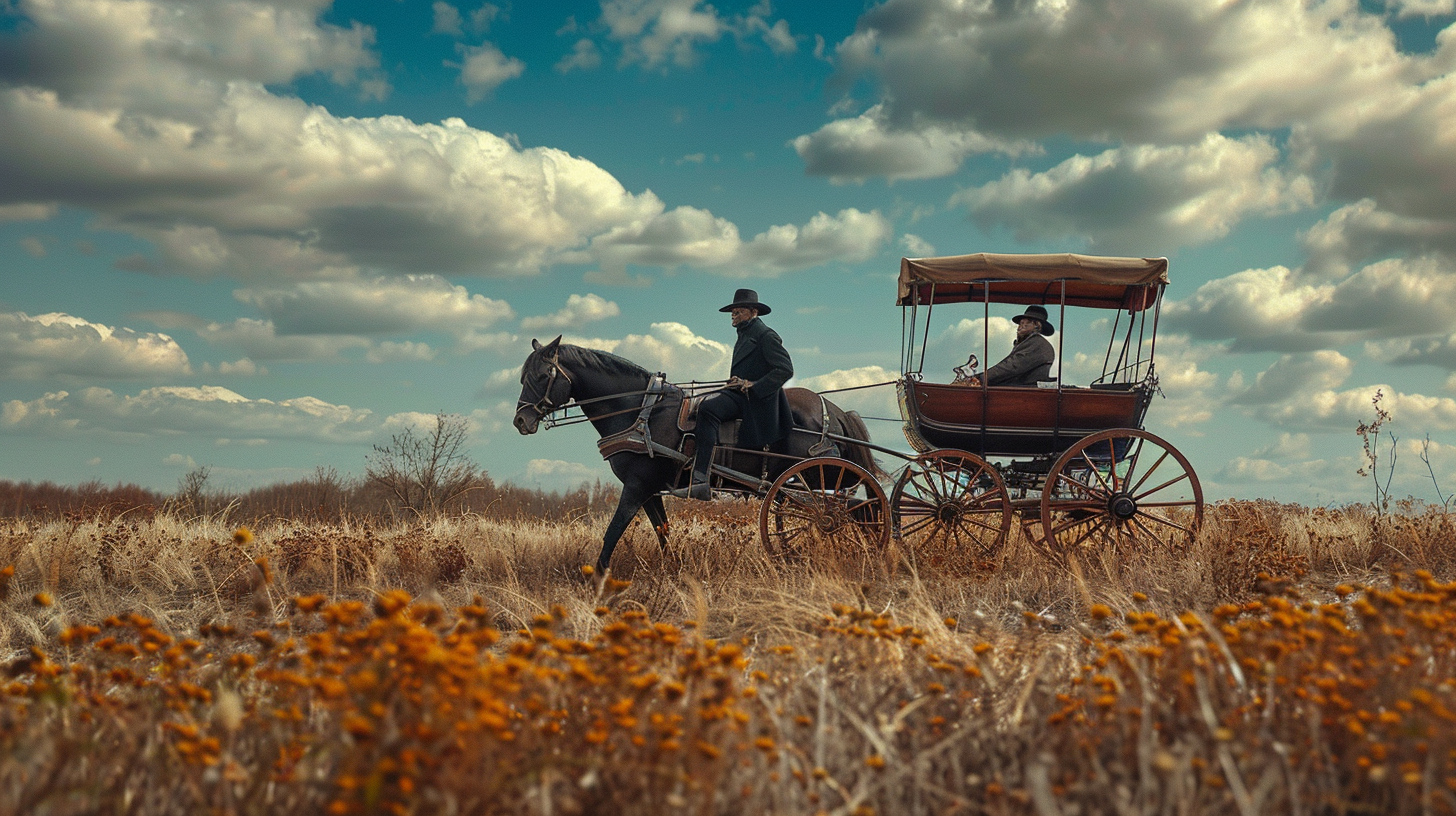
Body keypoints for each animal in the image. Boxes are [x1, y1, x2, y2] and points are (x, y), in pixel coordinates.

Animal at [518, 333, 879, 574]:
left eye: (541, 376)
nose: (520, 420)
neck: (641, 411)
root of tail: (832, 410)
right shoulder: (650, 489)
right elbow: (662, 530)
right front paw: (672, 567)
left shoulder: (635, 486)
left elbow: (613, 531)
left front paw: (597, 576)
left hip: (816, 482)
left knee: (853, 511)